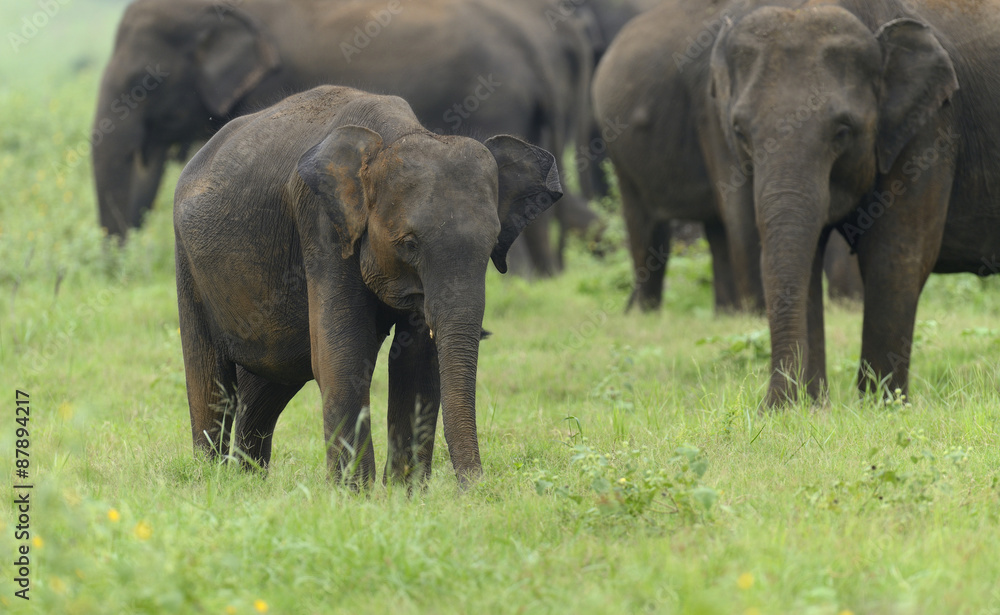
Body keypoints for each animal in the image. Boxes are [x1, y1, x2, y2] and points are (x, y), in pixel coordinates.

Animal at [172, 85, 562, 486]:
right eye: (409, 244)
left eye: (491, 244)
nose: (474, 489)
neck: (397, 135)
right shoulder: (322, 224)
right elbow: (343, 354)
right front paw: (353, 494)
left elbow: (417, 364)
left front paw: (404, 495)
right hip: (188, 264)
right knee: (211, 379)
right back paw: (211, 477)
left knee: (271, 379)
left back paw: (248, 482)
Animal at [709, 0, 1000, 404]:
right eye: (739, 131)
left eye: (843, 131)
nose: (770, 408)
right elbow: (808, 255)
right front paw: (811, 408)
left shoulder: (931, 127)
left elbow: (894, 256)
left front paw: (881, 405)